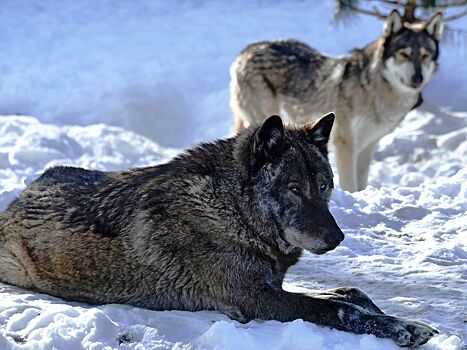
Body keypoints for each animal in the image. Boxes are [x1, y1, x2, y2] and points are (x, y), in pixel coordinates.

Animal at [0, 114, 438, 348]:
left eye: (325, 186)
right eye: (294, 189)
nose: (337, 239)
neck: (234, 212)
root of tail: (19, 197)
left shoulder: (270, 285)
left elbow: (352, 293)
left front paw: (397, 319)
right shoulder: (254, 298)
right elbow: (340, 308)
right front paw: (405, 328)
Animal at [232, 10, 444, 191]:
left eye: (425, 56)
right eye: (404, 54)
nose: (418, 78)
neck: (371, 89)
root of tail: (245, 52)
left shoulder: (368, 146)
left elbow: (361, 182)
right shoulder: (345, 143)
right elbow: (350, 183)